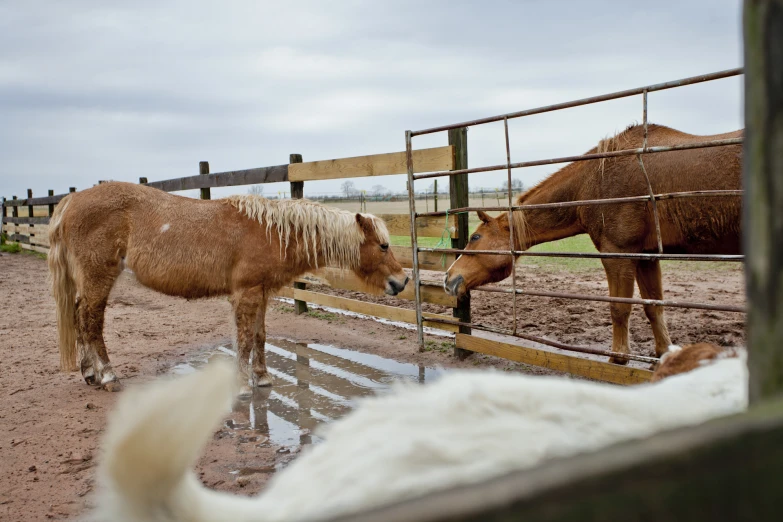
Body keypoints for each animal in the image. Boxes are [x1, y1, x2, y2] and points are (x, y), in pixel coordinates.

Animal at [47, 182, 410, 390]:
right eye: (383, 246)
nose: (402, 281)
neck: (271, 231)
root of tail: (73, 200)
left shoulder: (261, 292)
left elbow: (260, 336)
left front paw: (262, 377)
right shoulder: (246, 293)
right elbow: (245, 339)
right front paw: (242, 384)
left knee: (79, 317)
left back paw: (89, 373)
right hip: (99, 277)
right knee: (91, 321)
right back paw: (108, 376)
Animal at [444, 125, 744, 362]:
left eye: (475, 237)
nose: (448, 278)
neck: (593, 183)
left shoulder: (618, 254)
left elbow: (619, 308)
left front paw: (618, 359)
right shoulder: (646, 256)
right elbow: (653, 306)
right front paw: (663, 355)